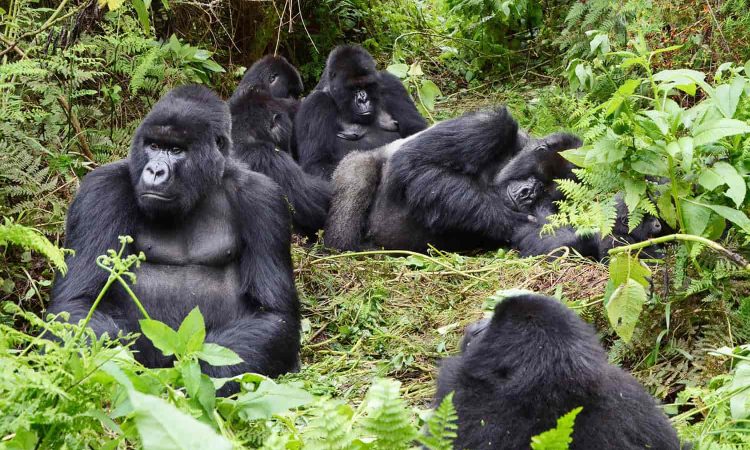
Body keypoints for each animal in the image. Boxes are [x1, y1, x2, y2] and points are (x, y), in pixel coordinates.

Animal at [47, 84, 302, 390]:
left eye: (176, 150)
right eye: (154, 146)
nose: (155, 171)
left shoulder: (264, 199)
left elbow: (273, 314)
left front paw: (198, 377)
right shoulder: (99, 191)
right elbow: (78, 303)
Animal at [296, 45, 432, 179]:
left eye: (367, 85)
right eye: (354, 88)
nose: (363, 99)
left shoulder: (391, 84)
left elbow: (416, 130)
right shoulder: (316, 103)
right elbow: (318, 163)